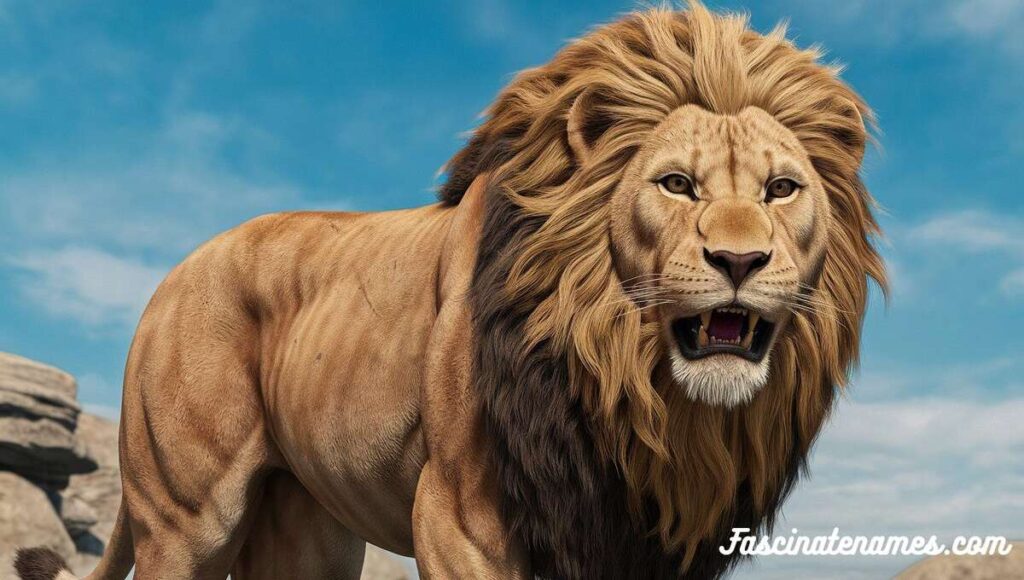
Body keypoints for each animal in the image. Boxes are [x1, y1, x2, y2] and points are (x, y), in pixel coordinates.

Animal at [16, 3, 884, 579]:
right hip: (185, 517)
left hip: (305, 524)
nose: (740, 259)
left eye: (780, 190)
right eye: (676, 184)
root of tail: (175, 270)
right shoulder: (462, 519)